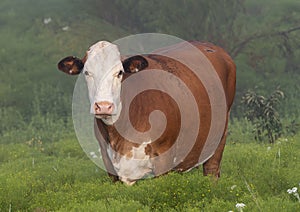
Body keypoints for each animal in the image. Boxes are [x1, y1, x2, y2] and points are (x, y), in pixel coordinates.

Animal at [58, 40, 237, 186]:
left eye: (119, 72)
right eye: (87, 73)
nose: (103, 106)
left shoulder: (164, 158)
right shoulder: (111, 165)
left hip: (219, 137)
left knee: (212, 170)